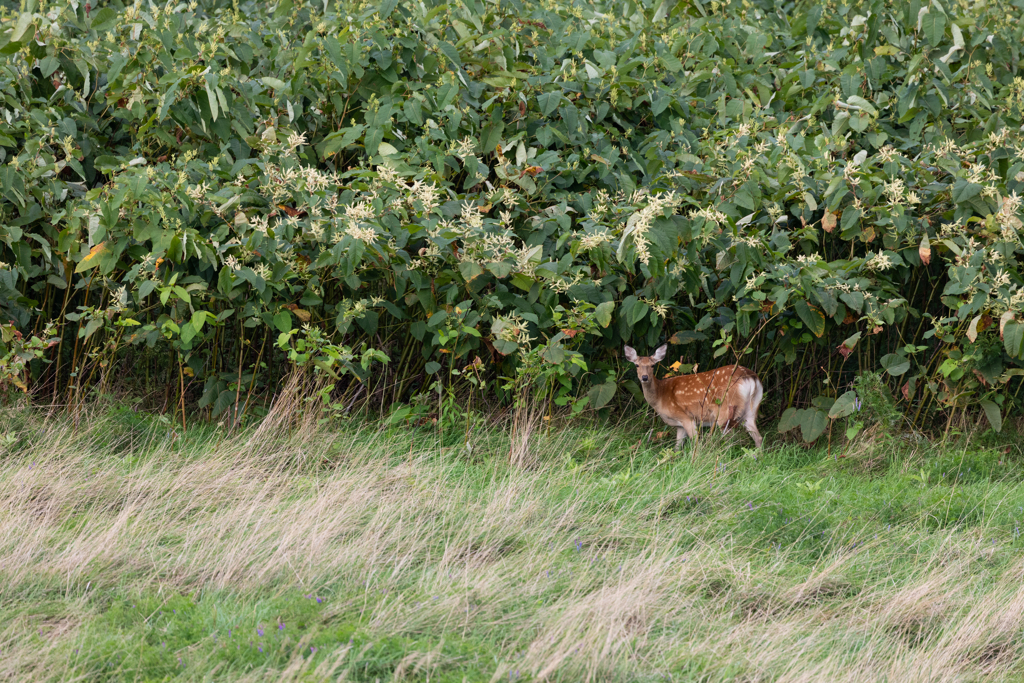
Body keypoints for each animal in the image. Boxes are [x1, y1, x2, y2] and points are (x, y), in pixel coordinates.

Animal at [622, 344, 761, 450]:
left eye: (652, 365)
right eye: (636, 365)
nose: (644, 377)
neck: (660, 396)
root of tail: (750, 377)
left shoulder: (686, 417)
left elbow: (696, 442)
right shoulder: (679, 425)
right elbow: (677, 447)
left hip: (726, 411)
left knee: (730, 439)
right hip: (751, 410)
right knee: (758, 437)